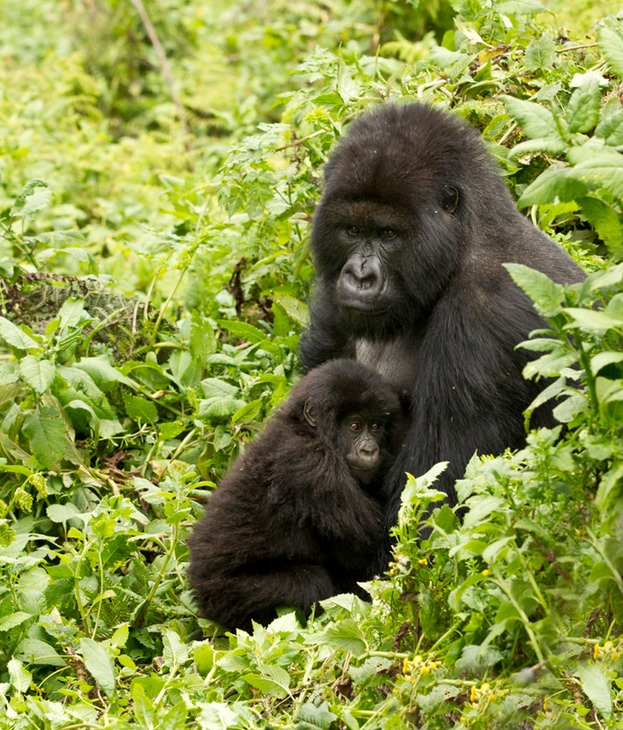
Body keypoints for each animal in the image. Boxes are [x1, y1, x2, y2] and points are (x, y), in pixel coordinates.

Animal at [188, 356, 408, 628]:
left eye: (376, 426)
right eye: (355, 426)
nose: (370, 450)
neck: (306, 430)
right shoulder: (313, 465)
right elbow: (371, 541)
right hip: (225, 595)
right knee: (312, 583)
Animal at [300, 104, 588, 568]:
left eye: (388, 234)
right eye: (351, 230)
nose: (359, 277)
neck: (463, 244)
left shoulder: (481, 321)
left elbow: (430, 510)